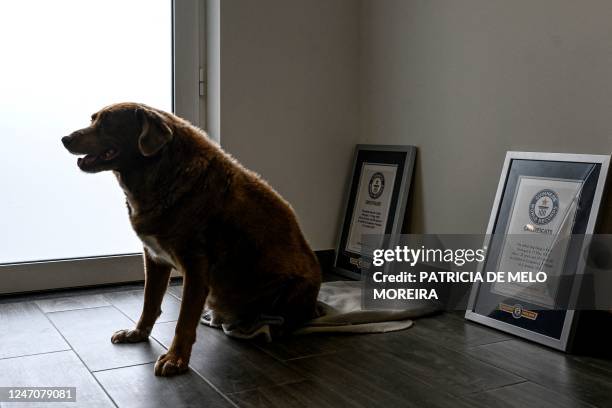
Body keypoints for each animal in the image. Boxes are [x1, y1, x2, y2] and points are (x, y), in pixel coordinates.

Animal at [61, 102, 326, 376]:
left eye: (106, 124)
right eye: (92, 119)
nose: (65, 139)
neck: (162, 175)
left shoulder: (196, 266)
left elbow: (184, 320)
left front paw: (175, 358)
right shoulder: (154, 257)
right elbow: (149, 302)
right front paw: (137, 333)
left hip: (291, 289)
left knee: (288, 319)